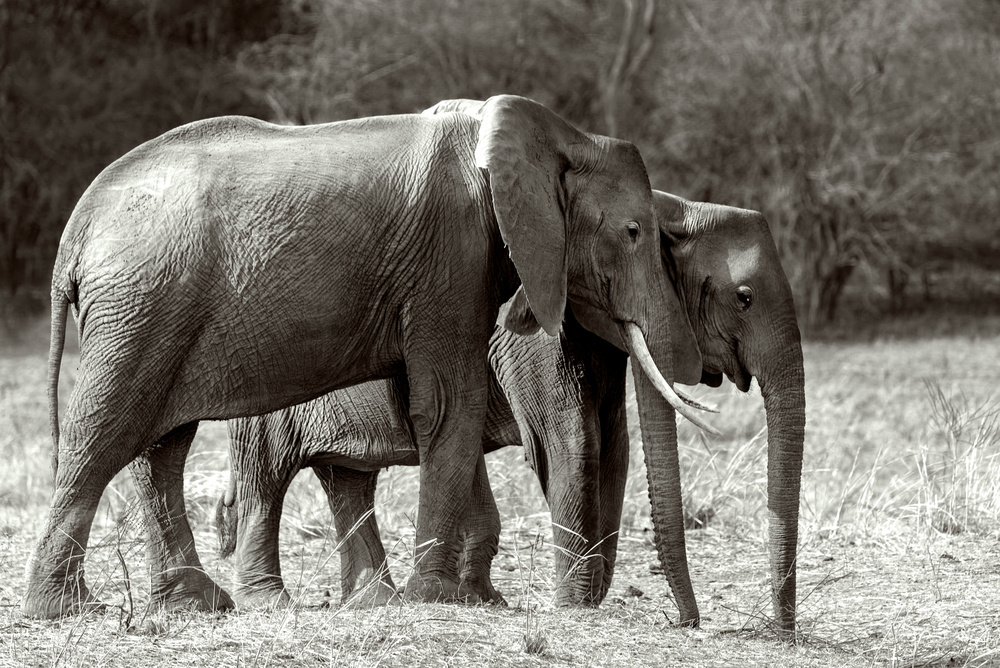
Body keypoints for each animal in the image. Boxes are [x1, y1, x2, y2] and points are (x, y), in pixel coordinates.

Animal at [30, 94, 711, 619]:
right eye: (633, 232)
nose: (688, 623)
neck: (552, 134)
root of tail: (76, 231)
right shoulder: (452, 251)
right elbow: (449, 404)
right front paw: (434, 598)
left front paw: (446, 596)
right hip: (142, 303)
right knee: (107, 431)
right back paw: (66, 609)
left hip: (154, 309)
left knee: (161, 445)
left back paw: (194, 604)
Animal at [215, 189, 806, 634]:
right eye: (744, 297)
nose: (688, 621)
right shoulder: (533, 334)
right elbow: (573, 443)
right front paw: (573, 606)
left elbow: (613, 444)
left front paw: (490, 600)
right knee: (265, 479)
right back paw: (271, 602)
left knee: (348, 481)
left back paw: (375, 603)